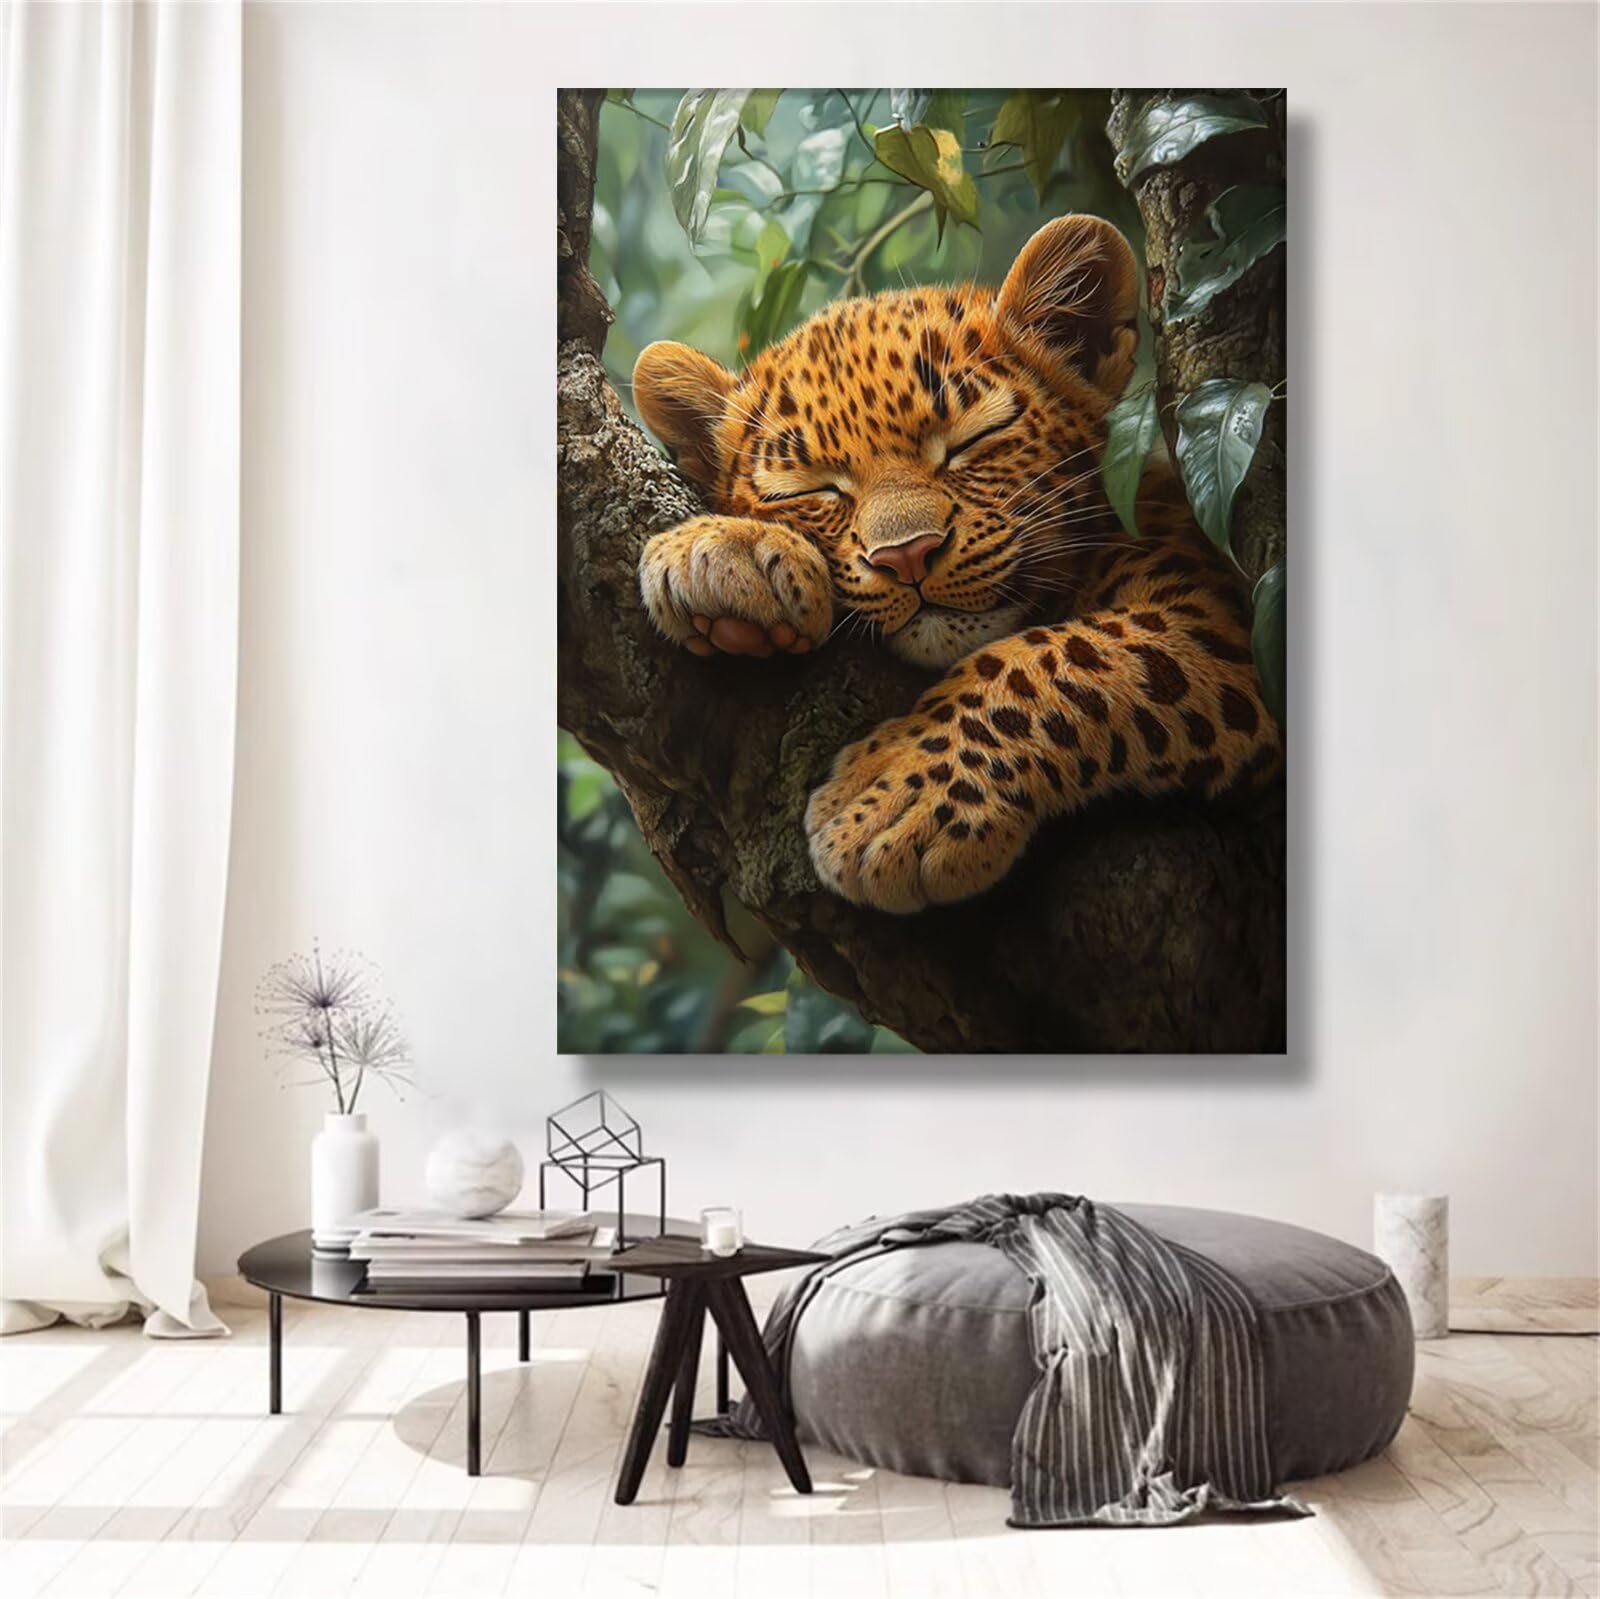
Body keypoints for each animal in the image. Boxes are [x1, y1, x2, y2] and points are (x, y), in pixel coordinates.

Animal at [632, 214, 1282, 914]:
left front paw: (893, 799)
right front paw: (720, 552)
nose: (906, 555)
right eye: (811, 490)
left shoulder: (1222, 625)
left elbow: (1058, 656)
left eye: (971, 441)